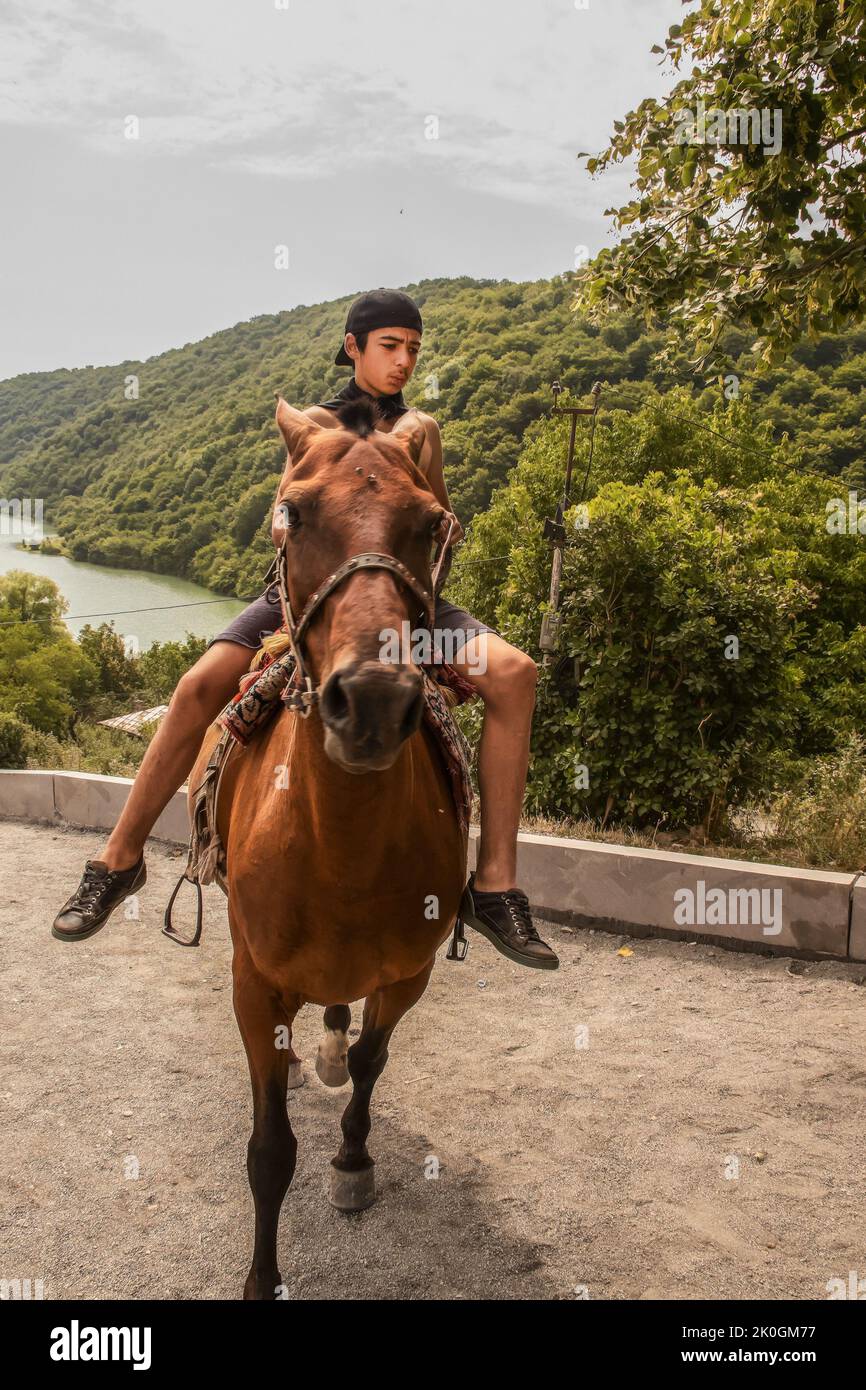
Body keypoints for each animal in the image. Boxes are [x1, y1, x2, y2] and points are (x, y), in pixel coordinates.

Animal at [191, 394, 467, 1301]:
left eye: (430, 523)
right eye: (294, 513)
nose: (374, 700)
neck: (342, 850)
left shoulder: (408, 974)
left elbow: (377, 1061)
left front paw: (352, 1161)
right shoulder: (254, 987)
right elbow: (270, 1152)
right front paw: (261, 1278)